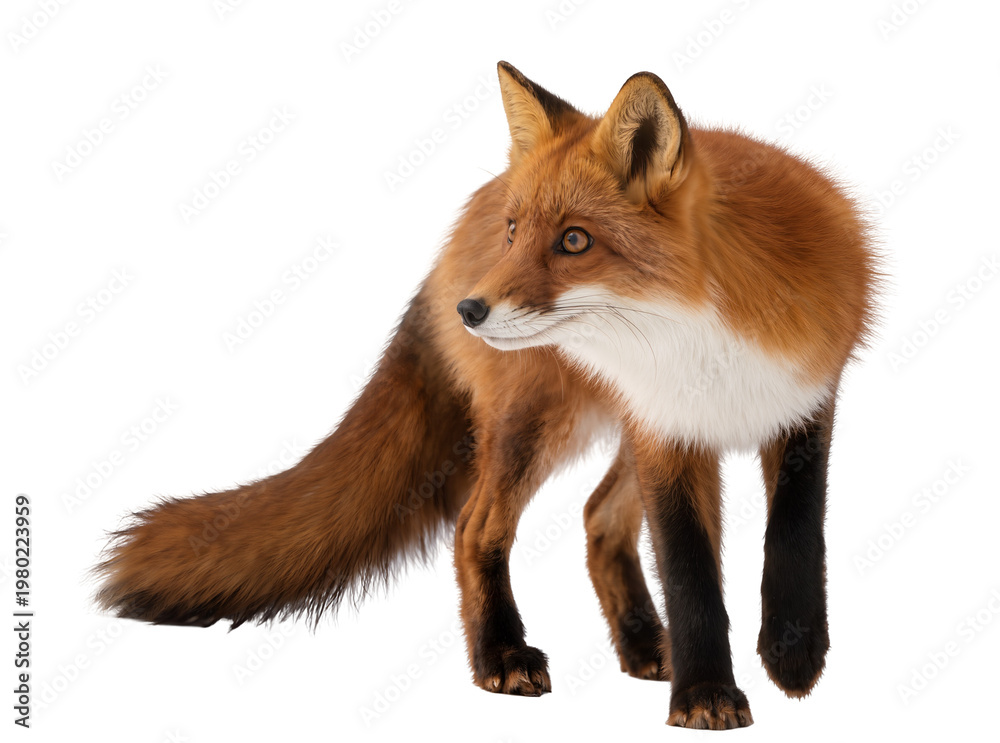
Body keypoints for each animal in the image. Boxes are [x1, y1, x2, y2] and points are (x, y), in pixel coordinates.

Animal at [94, 61, 876, 730]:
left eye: (574, 240)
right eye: (516, 232)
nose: (471, 309)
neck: (707, 330)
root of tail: (471, 208)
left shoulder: (806, 403)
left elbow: (796, 535)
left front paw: (792, 652)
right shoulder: (667, 429)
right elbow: (691, 576)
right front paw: (707, 694)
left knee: (597, 519)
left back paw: (641, 645)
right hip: (537, 422)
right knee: (476, 527)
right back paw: (500, 655)